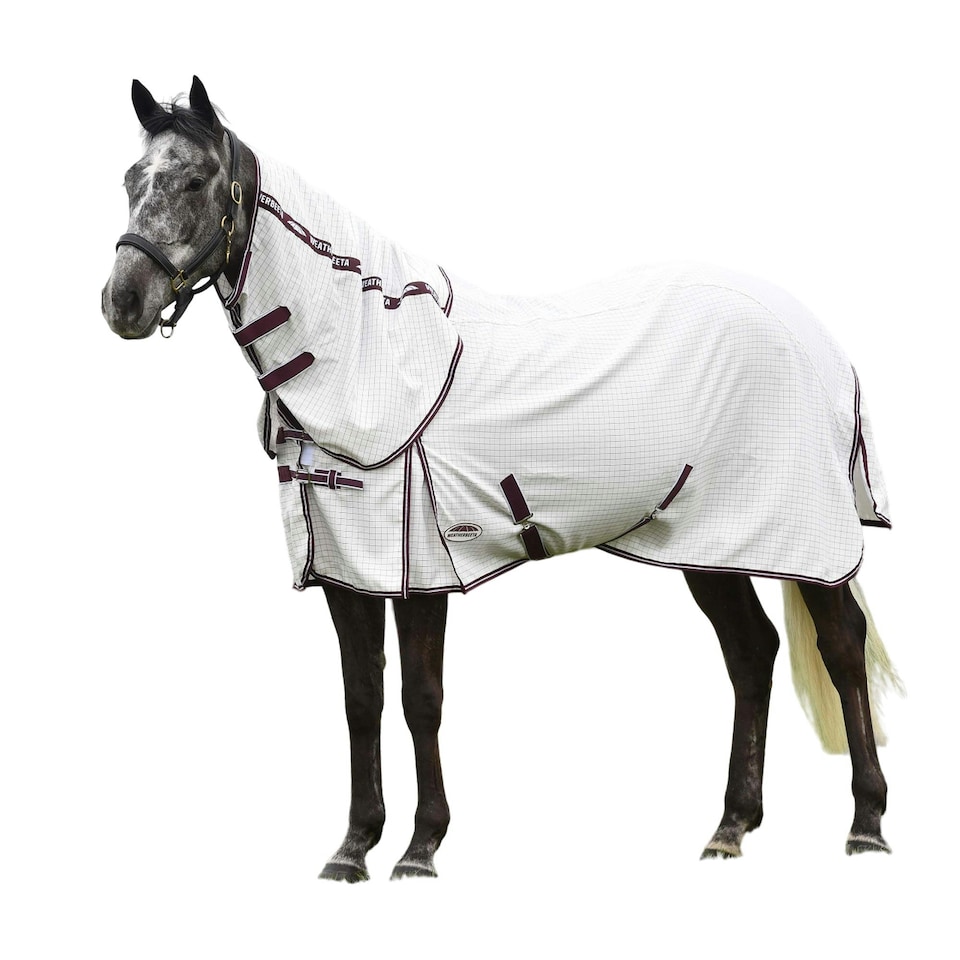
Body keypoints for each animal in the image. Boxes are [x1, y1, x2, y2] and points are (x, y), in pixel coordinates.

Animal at [102, 76, 901, 880]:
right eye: (132, 181)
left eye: (197, 181)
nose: (121, 304)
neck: (362, 352)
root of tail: (821, 339)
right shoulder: (343, 571)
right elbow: (362, 699)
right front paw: (353, 847)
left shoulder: (416, 568)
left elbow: (420, 698)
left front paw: (420, 848)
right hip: (710, 543)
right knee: (751, 654)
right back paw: (731, 828)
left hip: (801, 538)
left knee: (841, 648)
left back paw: (865, 826)